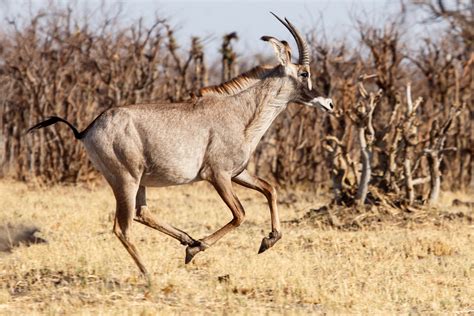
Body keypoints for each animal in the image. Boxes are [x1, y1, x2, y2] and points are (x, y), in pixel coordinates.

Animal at [27, 13, 334, 278]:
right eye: (304, 73)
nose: (329, 103)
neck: (239, 111)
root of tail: (86, 130)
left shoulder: (238, 172)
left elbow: (270, 189)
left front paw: (268, 240)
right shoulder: (217, 175)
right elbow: (240, 214)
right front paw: (197, 249)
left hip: (139, 182)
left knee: (141, 213)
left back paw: (187, 239)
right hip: (125, 179)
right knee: (122, 227)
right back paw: (151, 272)